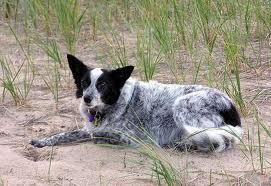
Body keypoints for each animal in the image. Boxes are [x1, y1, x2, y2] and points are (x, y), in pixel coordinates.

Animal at [30, 54, 243, 153]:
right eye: (84, 82)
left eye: (102, 85)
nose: (86, 98)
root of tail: (232, 109)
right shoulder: (88, 127)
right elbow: (68, 134)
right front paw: (43, 141)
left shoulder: (129, 136)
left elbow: (98, 135)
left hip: (182, 105)